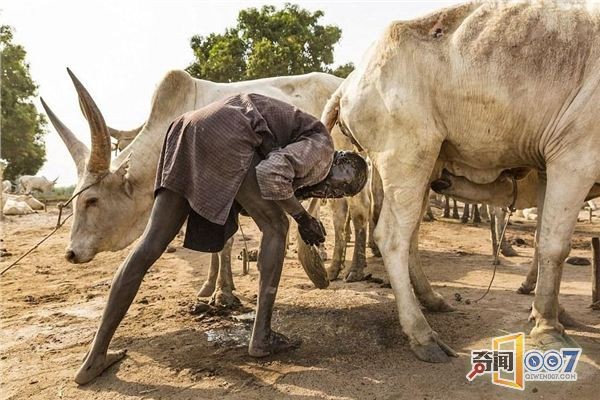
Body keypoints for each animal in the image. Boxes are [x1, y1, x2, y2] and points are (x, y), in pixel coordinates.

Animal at [324, 1, 600, 360]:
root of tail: (349, 83)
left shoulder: (546, 167)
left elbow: (543, 241)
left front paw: (553, 313)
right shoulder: (575, 157)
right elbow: (555, 246)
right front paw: (549, 329)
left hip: (424, 167)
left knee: (410, 235)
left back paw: (432, 301)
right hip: (407, 153)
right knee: (393, 237)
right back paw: (422, 334)